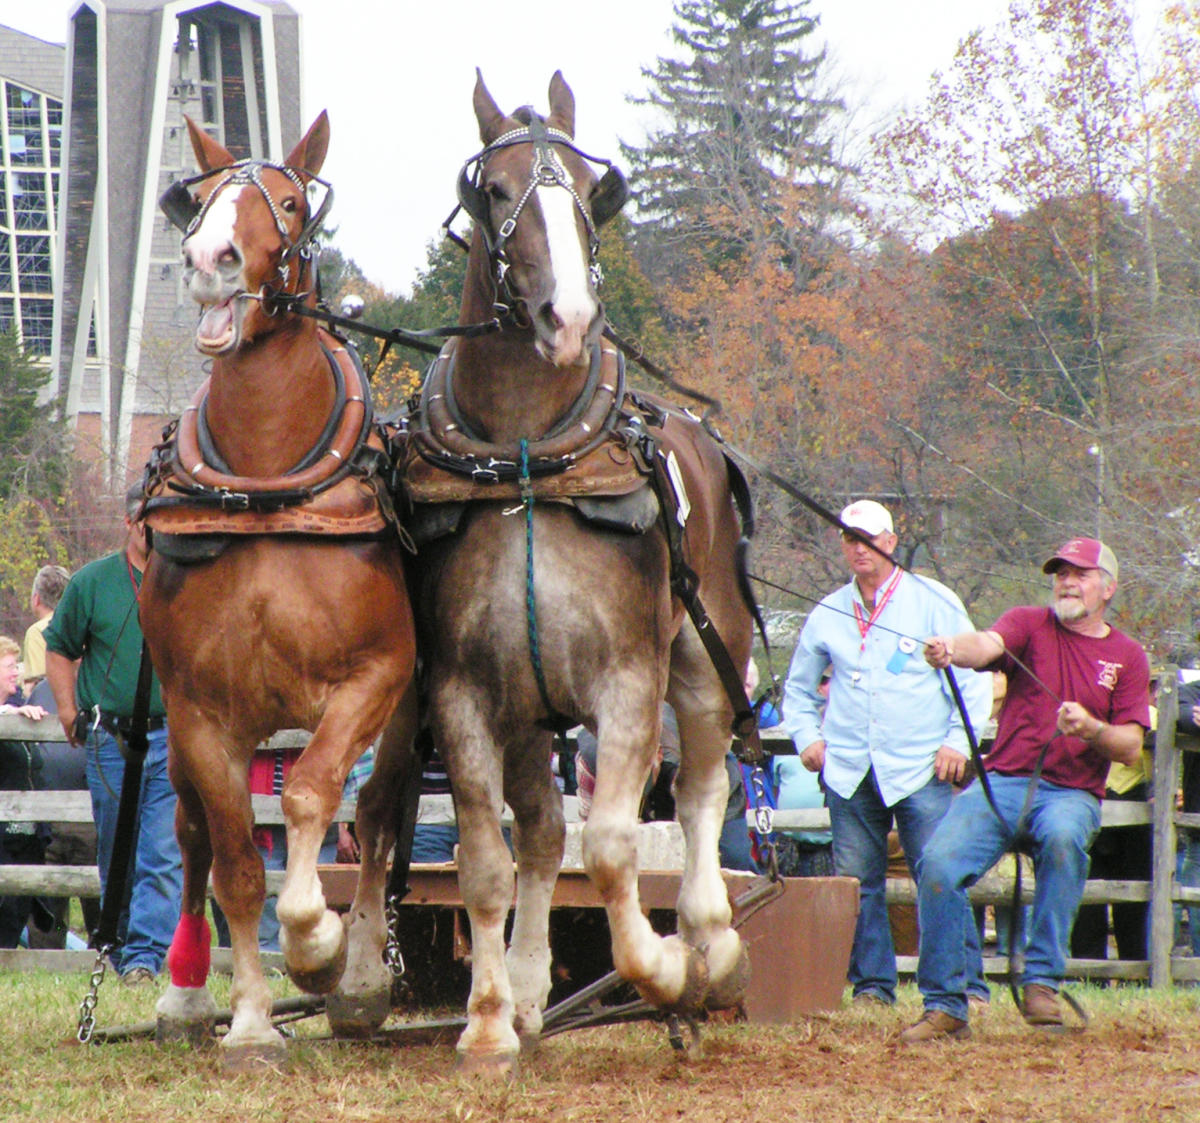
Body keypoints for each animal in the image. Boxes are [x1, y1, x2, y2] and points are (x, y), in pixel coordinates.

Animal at [139, 113, 420, 1060]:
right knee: (190, 834)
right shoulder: (197, 710)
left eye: (291, 201)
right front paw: (254, 1020)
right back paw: (186, 993)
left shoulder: (376, 676)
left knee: (377, 813)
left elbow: (311, 795)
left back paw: (362, 977)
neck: (266, 487)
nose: (211, 256)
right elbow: (233, 864)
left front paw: (319, 944)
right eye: (201, 196)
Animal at [398, 70, 763, 1070]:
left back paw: (710, 939)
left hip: (705, 655)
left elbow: (610, 844)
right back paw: (527, 990)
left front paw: (663, 965)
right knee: (538, 832)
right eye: (492, 191)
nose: (567, 319)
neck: (530, 458)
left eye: (593, 193)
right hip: (531, 709)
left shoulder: (628, 682)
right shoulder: (465, 690)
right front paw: (489, 1018)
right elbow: (490, 859)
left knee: (704, 787)